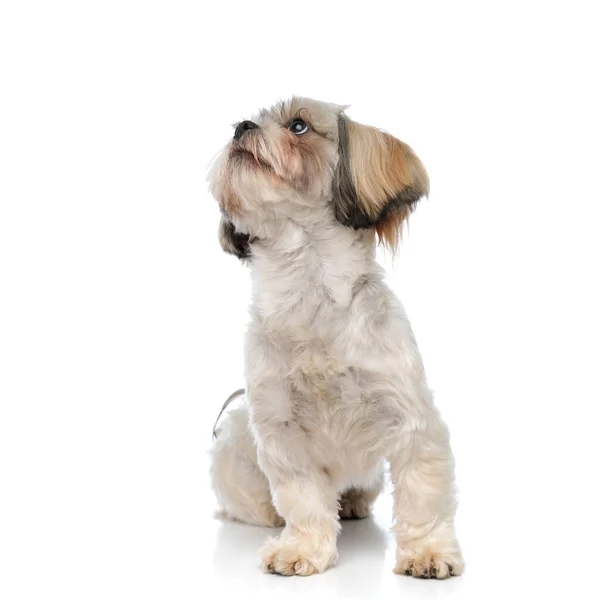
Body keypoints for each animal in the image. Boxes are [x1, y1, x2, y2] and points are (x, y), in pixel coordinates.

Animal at [210, 96, 464, 580]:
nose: (241, 127)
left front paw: (426, 552)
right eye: (249, 120)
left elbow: (422, 495)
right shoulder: (281, 430)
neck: (310, 289)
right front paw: (300, 548)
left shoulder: (412, 421)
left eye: (298, 125)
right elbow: (304, 499)